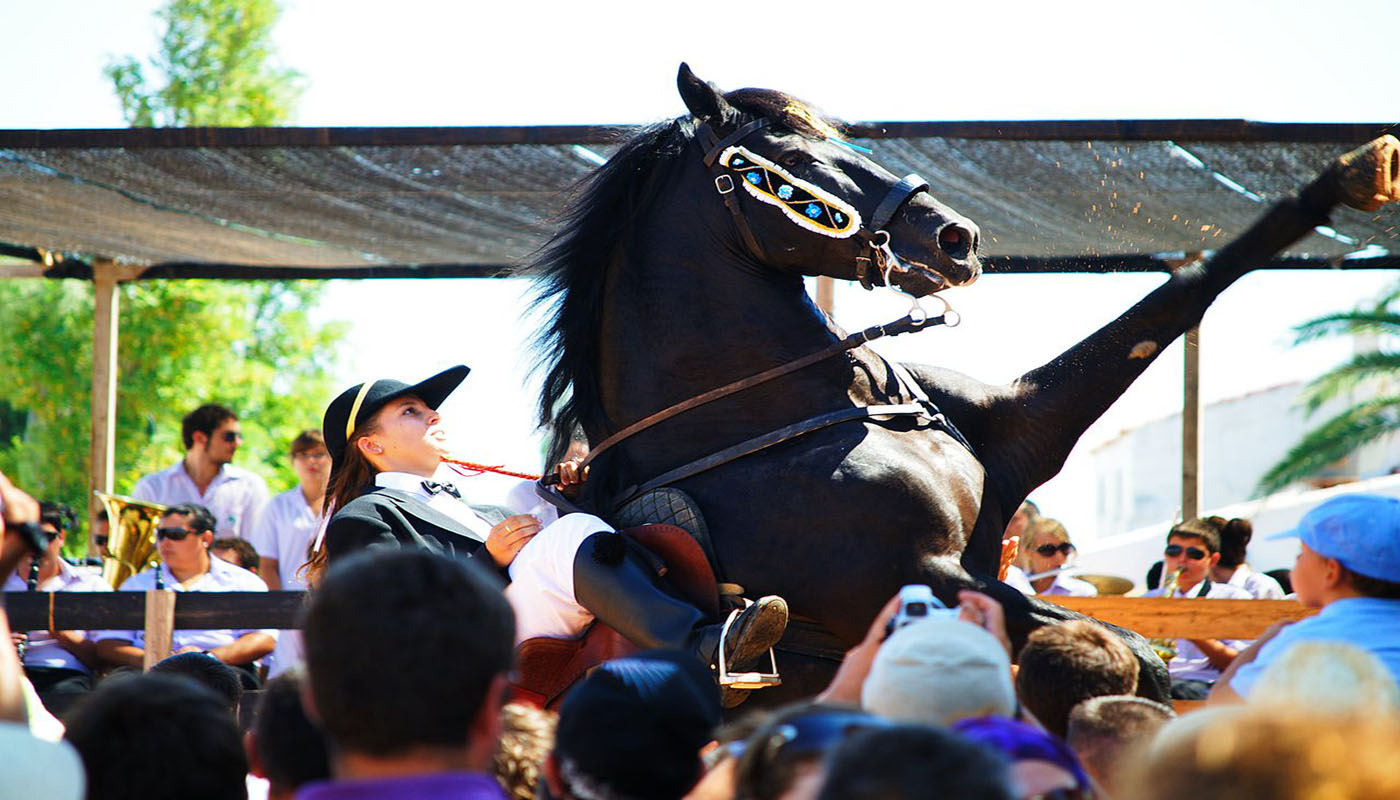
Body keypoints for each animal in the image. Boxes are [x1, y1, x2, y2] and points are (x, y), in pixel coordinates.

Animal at [526, 64, 1400, 700]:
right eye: (795, 166)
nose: (956, 237)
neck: (790, 414)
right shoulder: (919, 575)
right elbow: (1133, 660)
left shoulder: (1020, 437)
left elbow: (1183, 293)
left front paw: (1351, 174)